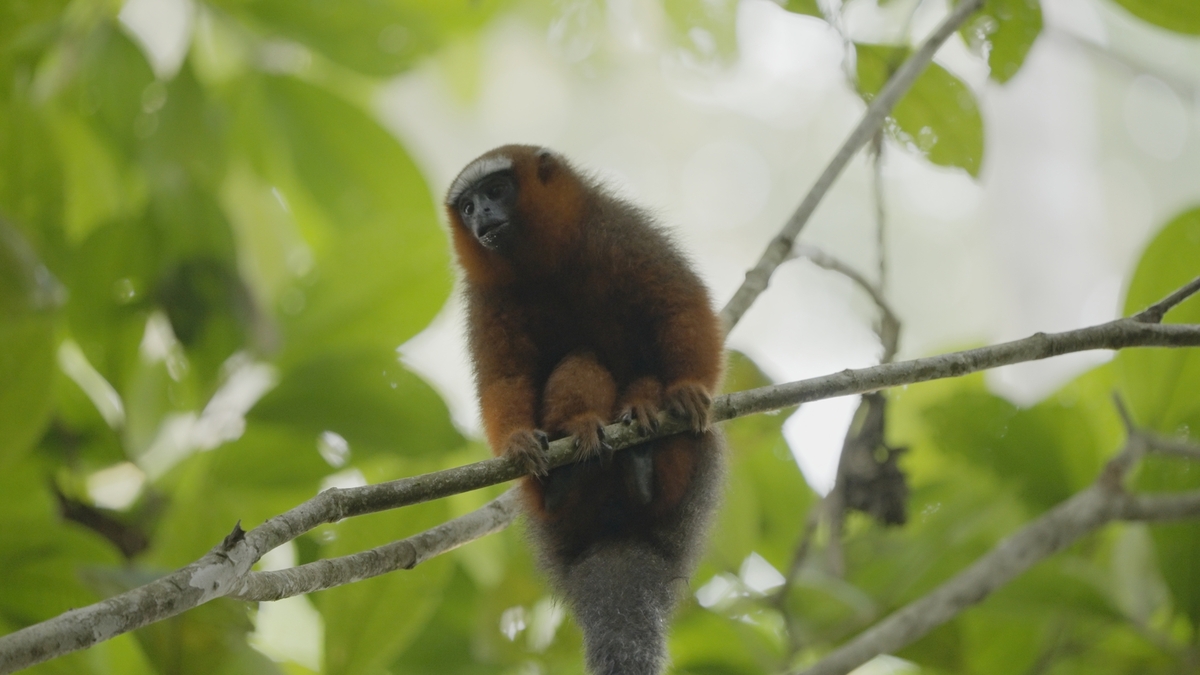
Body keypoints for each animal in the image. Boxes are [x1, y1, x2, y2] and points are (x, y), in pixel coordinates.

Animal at [445, 145, 725, 675]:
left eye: (496, 191)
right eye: (467, 206)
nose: (481, 216)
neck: (545, 265)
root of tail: (615, 533)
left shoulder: (620, 230)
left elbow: (679, 301)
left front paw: (685, 389)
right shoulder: (485, 298)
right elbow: (504, 377)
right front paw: (518, 440)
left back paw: (644, 448)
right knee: (582, 356)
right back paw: (572, 461)